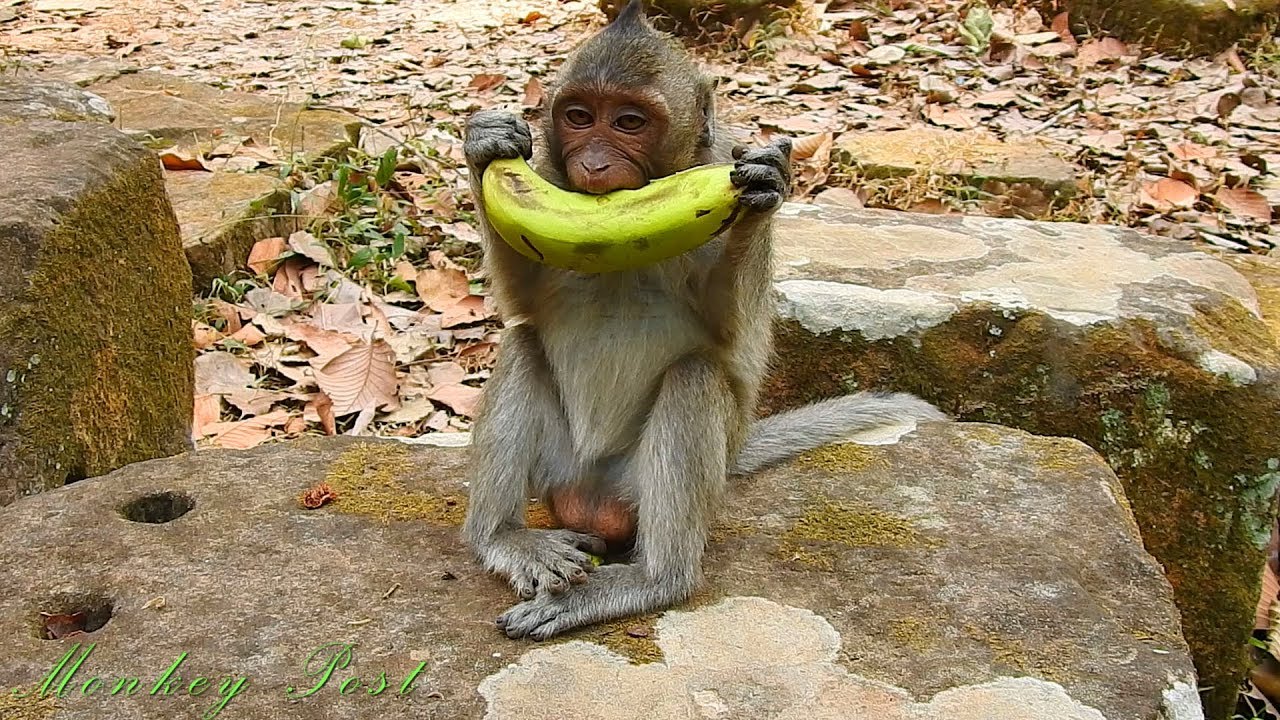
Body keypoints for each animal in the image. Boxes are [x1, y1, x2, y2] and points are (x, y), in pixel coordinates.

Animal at [460, 0, 945, 640]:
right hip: (559, 470)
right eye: (579, 116)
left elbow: (731, 337)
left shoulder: (719, 169)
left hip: (647, 482)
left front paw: (763, 191)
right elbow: (525, 303)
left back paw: (652, 580)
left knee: (695, 377)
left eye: (629, 122)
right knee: (522, 344)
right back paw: (503, 537)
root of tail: (589, 495)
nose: (593, 162)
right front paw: (485, 146)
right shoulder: (547, 179)